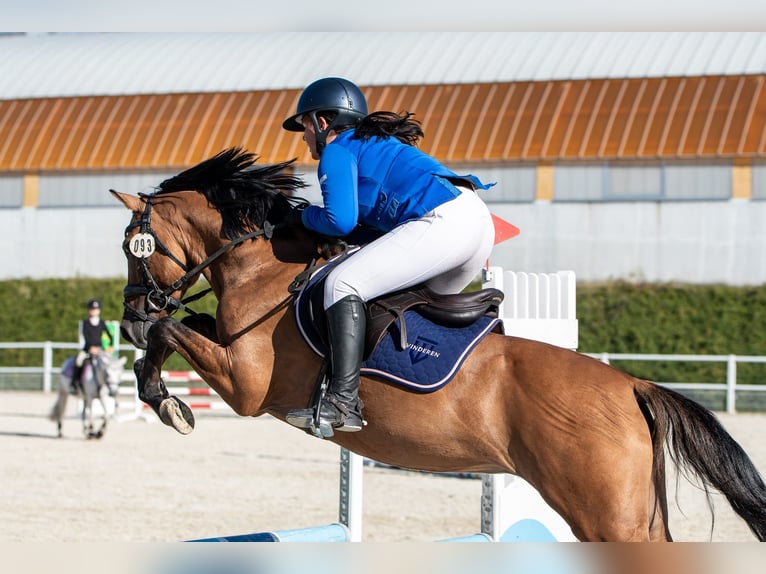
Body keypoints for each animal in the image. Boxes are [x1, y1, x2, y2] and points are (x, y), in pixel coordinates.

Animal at [109, 146, 766, 544]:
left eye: (132, 248)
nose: (130, 318)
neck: (263, 273)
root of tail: (632, 385)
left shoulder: (247, 387)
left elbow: (173, 332)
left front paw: (170, 403)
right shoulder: (227, 350)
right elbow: (180, 332)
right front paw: (160, 393)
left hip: (607, 518)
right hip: (633, 515)